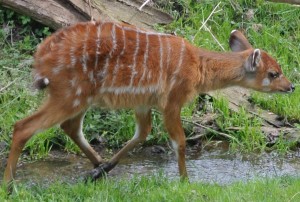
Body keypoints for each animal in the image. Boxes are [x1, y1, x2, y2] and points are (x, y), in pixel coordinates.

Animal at [2, 19, 292, 187]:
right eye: (273, 73)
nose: (291, 86)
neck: (198, 66)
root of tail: (41, 56)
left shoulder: (144, 103)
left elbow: (141, 134)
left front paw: (105, 168)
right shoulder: (172, 100)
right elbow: (180, 142)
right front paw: (186, 182)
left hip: (79, 97)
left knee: (69, 127)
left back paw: (98, 167)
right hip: (68, 93)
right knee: (23, 127)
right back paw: (8, 183)